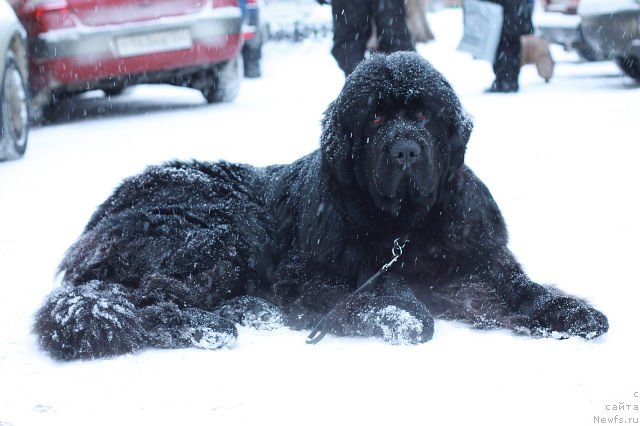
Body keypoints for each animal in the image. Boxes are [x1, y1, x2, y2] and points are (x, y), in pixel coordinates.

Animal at [36, 52, 608, 360]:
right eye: (375, 119)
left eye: (423, 115)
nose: (405, 150)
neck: (406, 227)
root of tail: (102, 211)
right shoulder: (307, 274)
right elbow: (386, 292)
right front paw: (400, 315)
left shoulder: (475, 258)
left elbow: (520, 286)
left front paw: (569, 310)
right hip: (219, 230)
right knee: (154, 290)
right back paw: (204, 326)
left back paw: (248, 312)